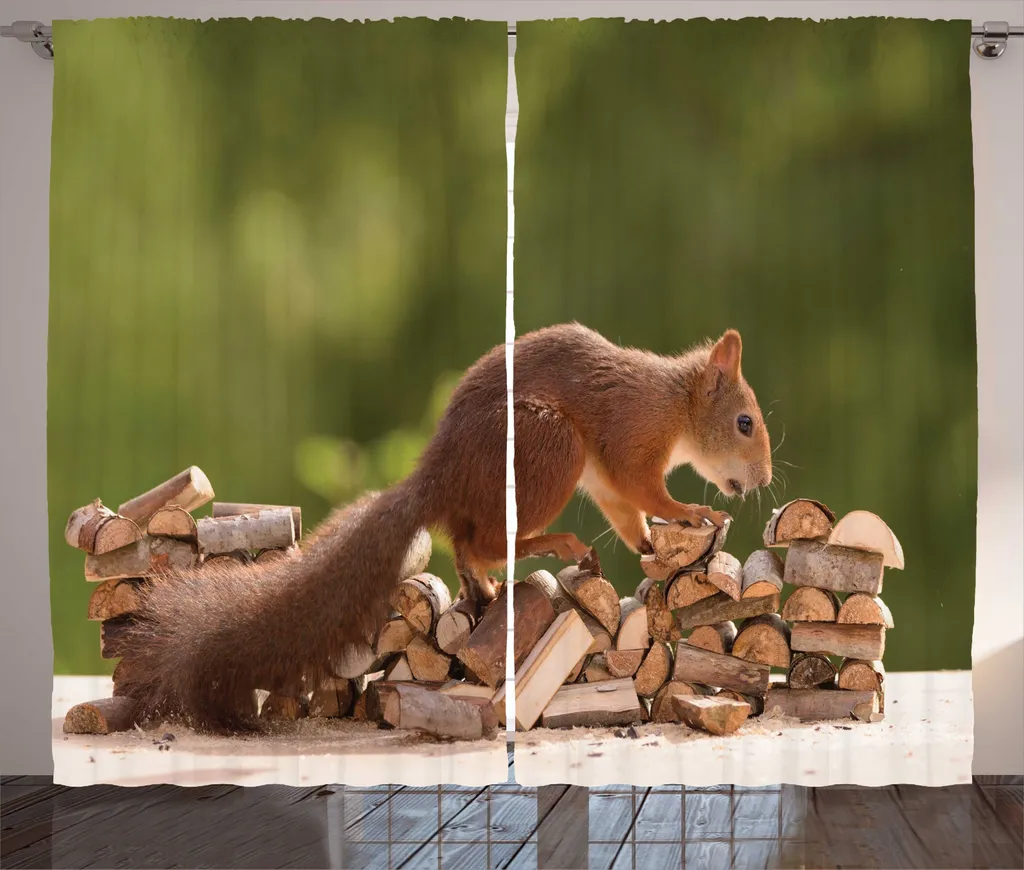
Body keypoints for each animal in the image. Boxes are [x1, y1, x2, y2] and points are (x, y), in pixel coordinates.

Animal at [116, 322, 772, 733]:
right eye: (744, 422)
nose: (763, 478)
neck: (673, 403)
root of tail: (441, 474)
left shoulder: (609, 484)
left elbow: (628, 513)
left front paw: (650, 541)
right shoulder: (631, 441)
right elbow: (646, 491)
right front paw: (695, 513)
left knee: (467, 543)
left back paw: (486, 583)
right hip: (549, 449)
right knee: (485, 539)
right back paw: (556, 545)